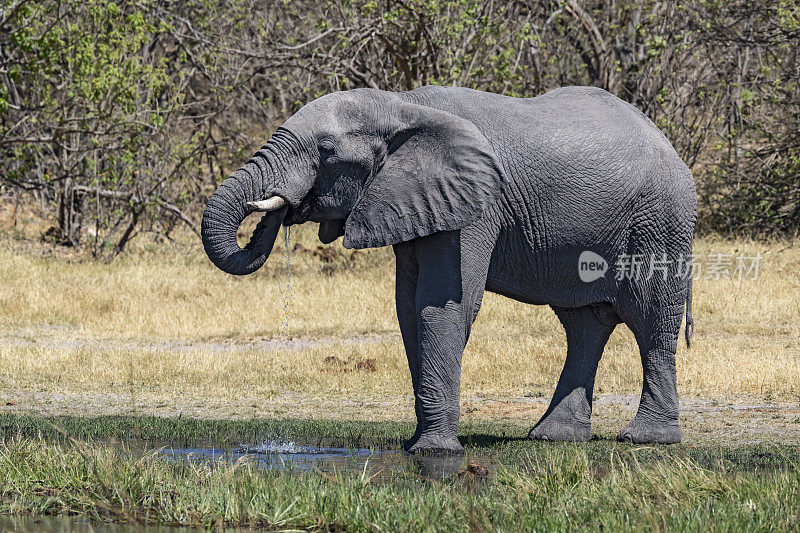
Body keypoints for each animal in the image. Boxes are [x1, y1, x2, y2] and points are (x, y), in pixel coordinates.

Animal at [203, 86, 696, 454]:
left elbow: (443, 304)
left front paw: (435, 451)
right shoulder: (414, 201)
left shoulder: (476, 204)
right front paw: (417, 445)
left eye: (325, 151)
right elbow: (407, 309)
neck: (402, 105)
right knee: (584, 324)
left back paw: (647, 439)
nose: (279, 207)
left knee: (651, 317)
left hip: (660, 220)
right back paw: (553, 438)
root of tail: (668, 143)